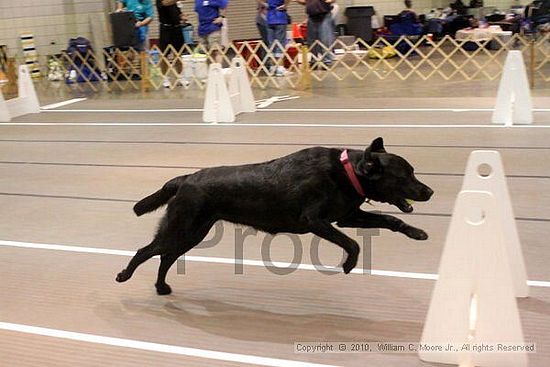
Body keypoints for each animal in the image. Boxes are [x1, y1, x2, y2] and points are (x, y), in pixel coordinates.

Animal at [117, 138, 436, 296]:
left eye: (413, 171)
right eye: (404, 175)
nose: (430, 191)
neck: (347, 173)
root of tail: (185, 179)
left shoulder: (347, 217)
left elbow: (391, 220)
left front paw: (417, 232)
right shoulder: (316, 221)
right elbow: (353, 244)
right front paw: (349, 265)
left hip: (192, 233)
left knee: (165, 257)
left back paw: (161, 288)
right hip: (182, 228)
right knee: (147, 250)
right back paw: (124, 275)